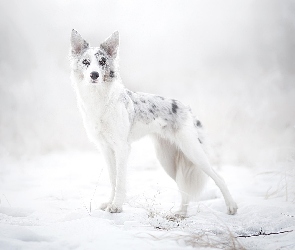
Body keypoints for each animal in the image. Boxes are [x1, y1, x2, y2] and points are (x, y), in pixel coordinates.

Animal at [69, 30, 238, 216]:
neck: (99, 101)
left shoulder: (122, 148)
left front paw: (117, 206)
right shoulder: (106, 149)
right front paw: (109, 203)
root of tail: (187, 108)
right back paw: (181, 213)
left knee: (219, 177)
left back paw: (231, 206)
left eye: (102, 62)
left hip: (193, 152)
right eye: (86, 62)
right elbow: (113, 179)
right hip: (167, 160)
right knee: (183, 187)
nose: (94, 75)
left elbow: (120, 181)